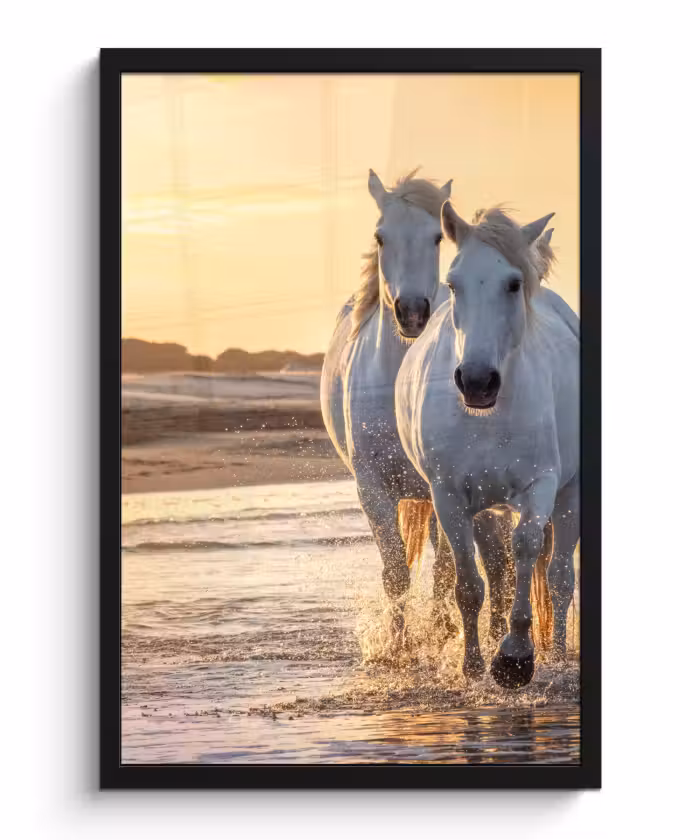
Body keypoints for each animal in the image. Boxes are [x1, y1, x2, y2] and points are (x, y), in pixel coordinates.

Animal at [320, 170, 514, 652]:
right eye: (380, 236)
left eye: (435, 239)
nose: (411, 313)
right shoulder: (372, 490)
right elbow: (395, 574)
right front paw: (398, 646)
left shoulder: (447, 489)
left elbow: (446, 570)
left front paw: (442, 634)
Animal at [395, 202, 580, 688]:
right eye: (453, 283)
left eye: (513, 283)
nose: (477, 382)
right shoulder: (449, 496)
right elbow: (468, 584)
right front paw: (474, 664)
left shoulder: (541, 485)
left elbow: (526, 550)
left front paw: (515, 657)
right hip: (484, 506)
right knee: (494, 572)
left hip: (570, 494)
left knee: (560, 577)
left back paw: (558, 655)